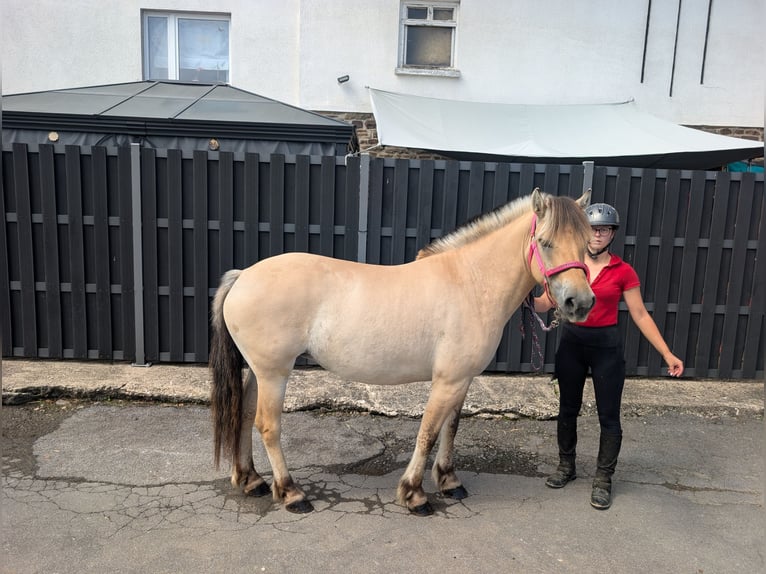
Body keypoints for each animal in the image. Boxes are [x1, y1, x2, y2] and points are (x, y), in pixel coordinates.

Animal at [210, 187, 594, 516]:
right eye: (545, 242)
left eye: (587, 245)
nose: (580, 303)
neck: (471, 282)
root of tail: (243, 275)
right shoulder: (446, 381)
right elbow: (428, 432)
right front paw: (414, 494)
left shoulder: (463, 380)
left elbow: (451, 428)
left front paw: (449, 481)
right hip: (274, 373)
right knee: (268, 425)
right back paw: (291, 493)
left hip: (259, 372)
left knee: (245, 413)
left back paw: (251, 480)